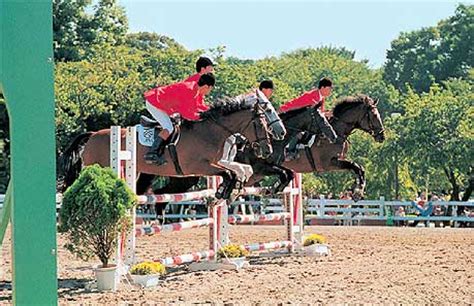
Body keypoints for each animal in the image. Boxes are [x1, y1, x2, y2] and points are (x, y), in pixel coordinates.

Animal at [55, 88, 286, 200]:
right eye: (263, 118)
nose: (269, 147)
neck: (212, 131)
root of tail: (93, 135)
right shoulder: (198, 166)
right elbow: (229, 173)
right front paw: (225, 191)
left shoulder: (218, 162)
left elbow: (239, 170)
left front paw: (229, 191)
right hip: (101, 167)